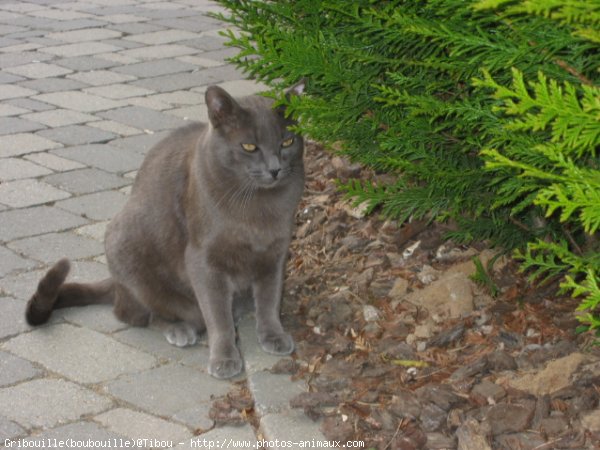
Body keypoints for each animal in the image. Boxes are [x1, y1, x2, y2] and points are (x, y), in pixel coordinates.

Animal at [24, 81, 304, 380]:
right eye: (249, 146)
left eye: (287, 142)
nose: (275, 169)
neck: (259, 207)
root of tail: (117, 284)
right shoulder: (202, 260)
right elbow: (217, 315)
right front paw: (225, 358)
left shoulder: (276, 252)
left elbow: (270, 299)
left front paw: (274, 336)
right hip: (124, 245)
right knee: (135, 314)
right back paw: (179, 329)